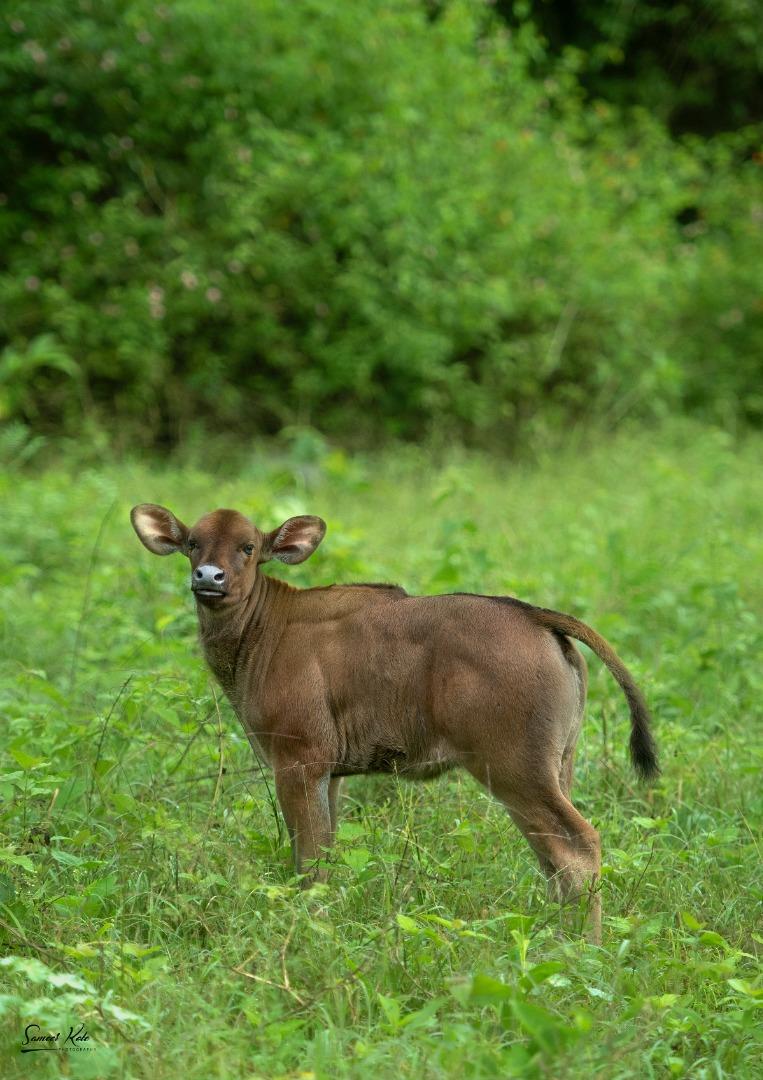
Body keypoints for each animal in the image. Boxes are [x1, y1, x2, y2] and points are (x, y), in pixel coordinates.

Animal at [129, 505, 652, 937]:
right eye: (192, 542)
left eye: (249, 546)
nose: (209, 577)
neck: (265, 629)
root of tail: (537, 617)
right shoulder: (330, 775)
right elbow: (325, 854)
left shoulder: (299, 763)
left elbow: (308, 861)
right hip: (556, 767)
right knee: (552, 860)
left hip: (514, 770)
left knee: (576, 849)